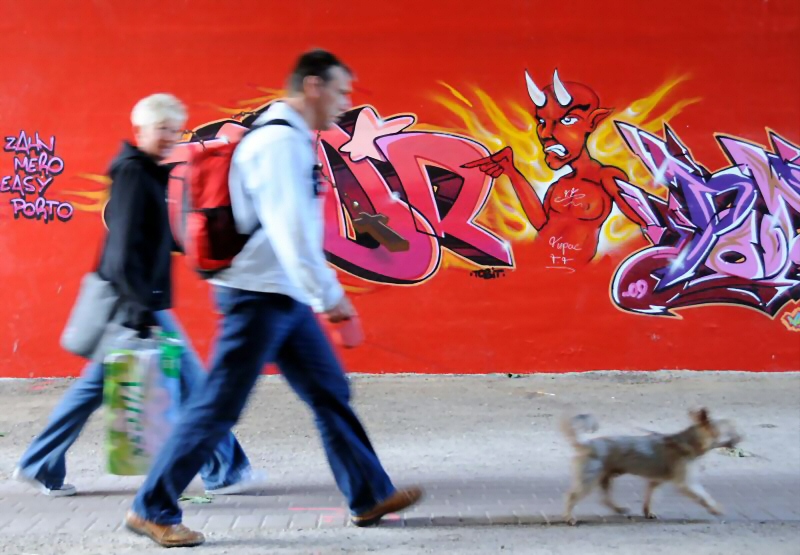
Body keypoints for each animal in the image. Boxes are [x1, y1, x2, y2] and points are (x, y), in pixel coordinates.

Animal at [560, 408, 740, 524]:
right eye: (729, 430)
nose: (742, 436)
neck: (686, 443)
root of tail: (586, 444)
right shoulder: (686, 483)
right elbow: (703, 496)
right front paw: (715, 508)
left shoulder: (655, 481)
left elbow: (650, 497)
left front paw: (648, 512)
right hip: (589, 480)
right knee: (572, 496)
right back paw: (569, 517)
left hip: (605, 478)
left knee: (605, 499)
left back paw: (619, 509)